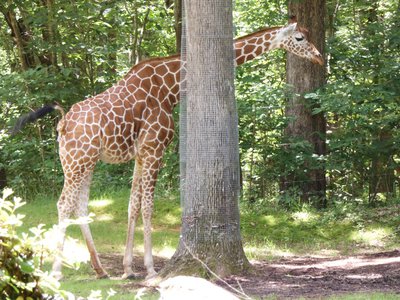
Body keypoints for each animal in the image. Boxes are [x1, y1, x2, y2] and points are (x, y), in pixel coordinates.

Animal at [13, 15, 324, 278]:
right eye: (299, 38)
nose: (319, 57)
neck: (172, 87)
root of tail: (63, 122)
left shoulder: (141, 154)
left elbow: (133, 205)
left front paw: (128, 268)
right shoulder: (155, 149)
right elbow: (148, 206)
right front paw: (150, 269)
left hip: (82, 162)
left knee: (79, 204)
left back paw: (100, 269)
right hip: (79, 161)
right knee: (64, 203)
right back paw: (56, 272)